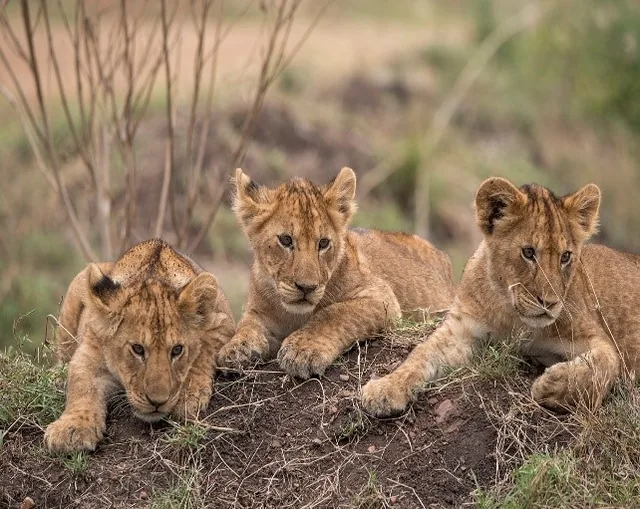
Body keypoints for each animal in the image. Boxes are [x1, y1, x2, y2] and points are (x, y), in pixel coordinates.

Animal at [44, 239, 235, 453]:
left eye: (177, 350)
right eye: (137, 349)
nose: (157, 402)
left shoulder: (224, 323)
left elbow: (203, 353)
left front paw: (189, 395)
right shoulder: (91, 347)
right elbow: (81, 382)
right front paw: (72, 429)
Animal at [216, 167, 455, 379]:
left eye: (323, 243)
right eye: (285, 240)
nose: (307, 288)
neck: (294, 315)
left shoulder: (381, 297)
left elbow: (333, 313)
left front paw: (303, 349)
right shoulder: (258, 311)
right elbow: (247, 325)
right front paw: (235, 349)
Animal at [362, 177, 640, 416]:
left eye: (565, 257)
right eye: (528, 252)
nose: (549, 303)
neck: (513, 315)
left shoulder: (598, 338)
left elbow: (605, 364)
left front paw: (554, 387)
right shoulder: (461, 330)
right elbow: (420, 355)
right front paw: (384, 388)